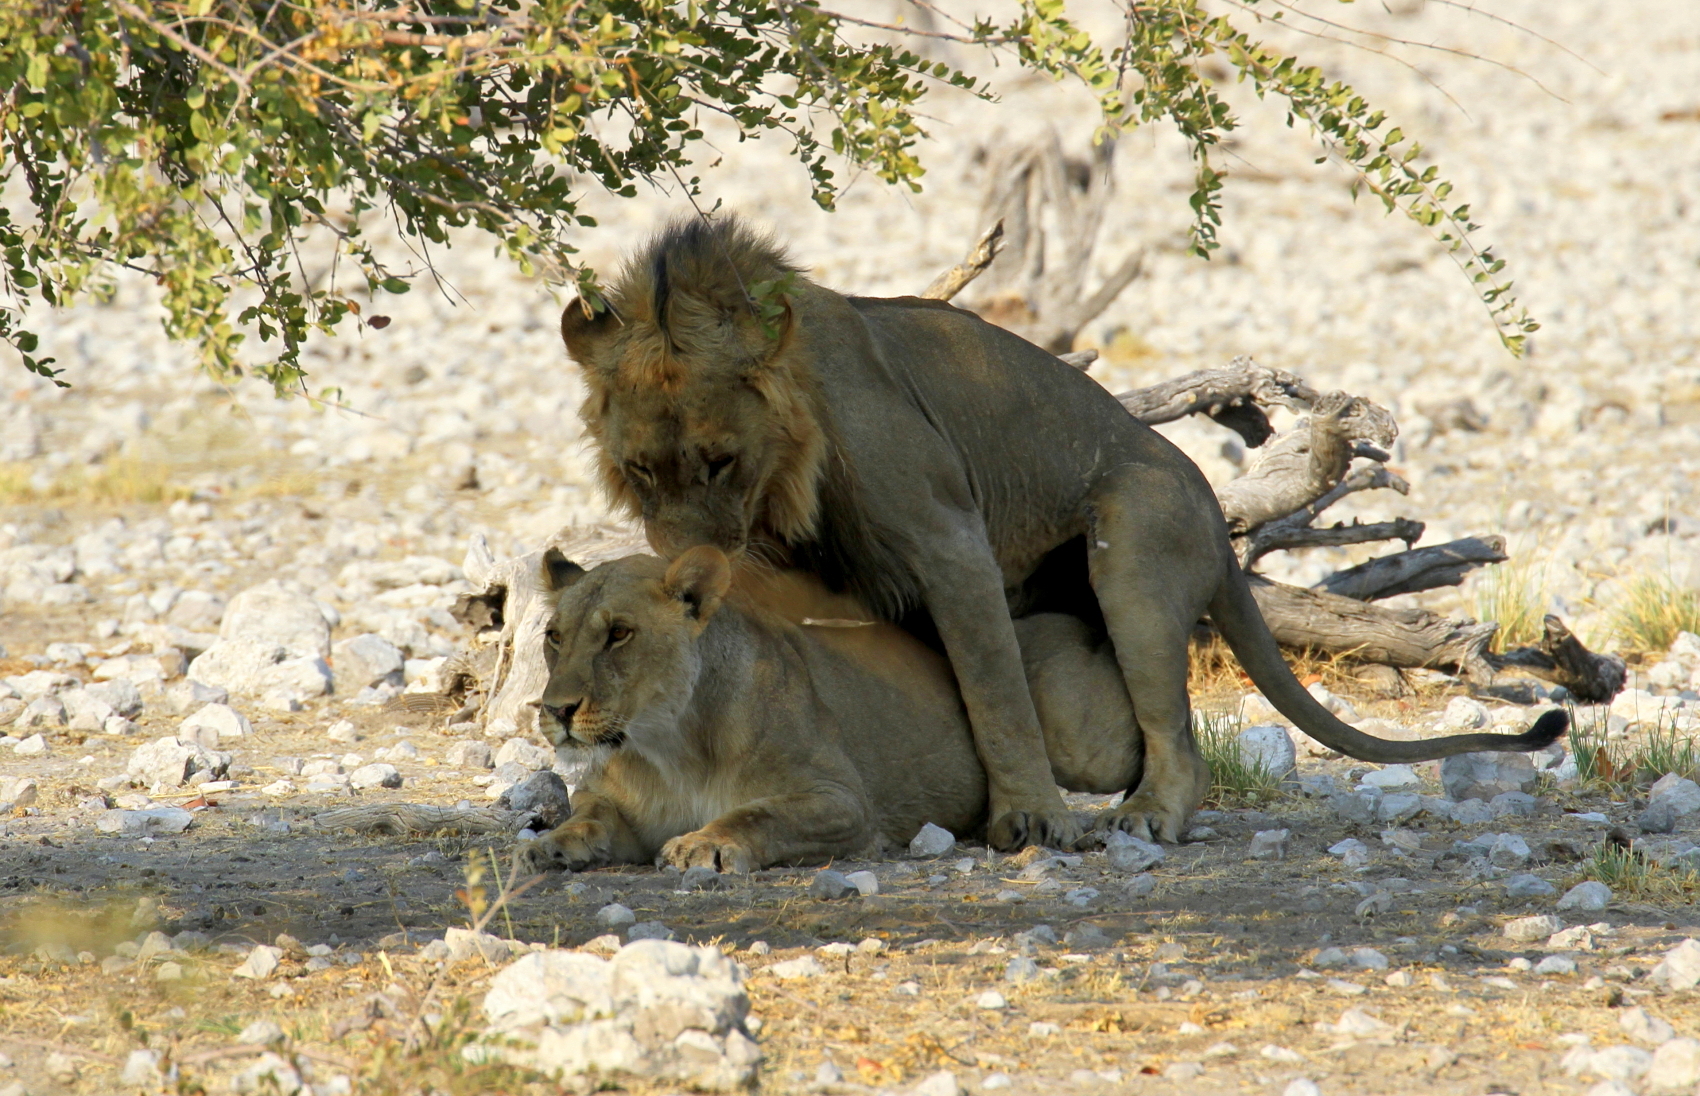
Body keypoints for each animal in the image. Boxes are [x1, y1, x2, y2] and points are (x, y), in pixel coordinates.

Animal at [559, 217, 1567, 848]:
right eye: (643, 470)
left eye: (721, 460)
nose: (689, 563)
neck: (786, 471)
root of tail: (1214, 513)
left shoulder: (946, 534)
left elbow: (994, 689)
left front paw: (1032, 818)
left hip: (1136, 535)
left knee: (1176, 739)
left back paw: (1148, 815)